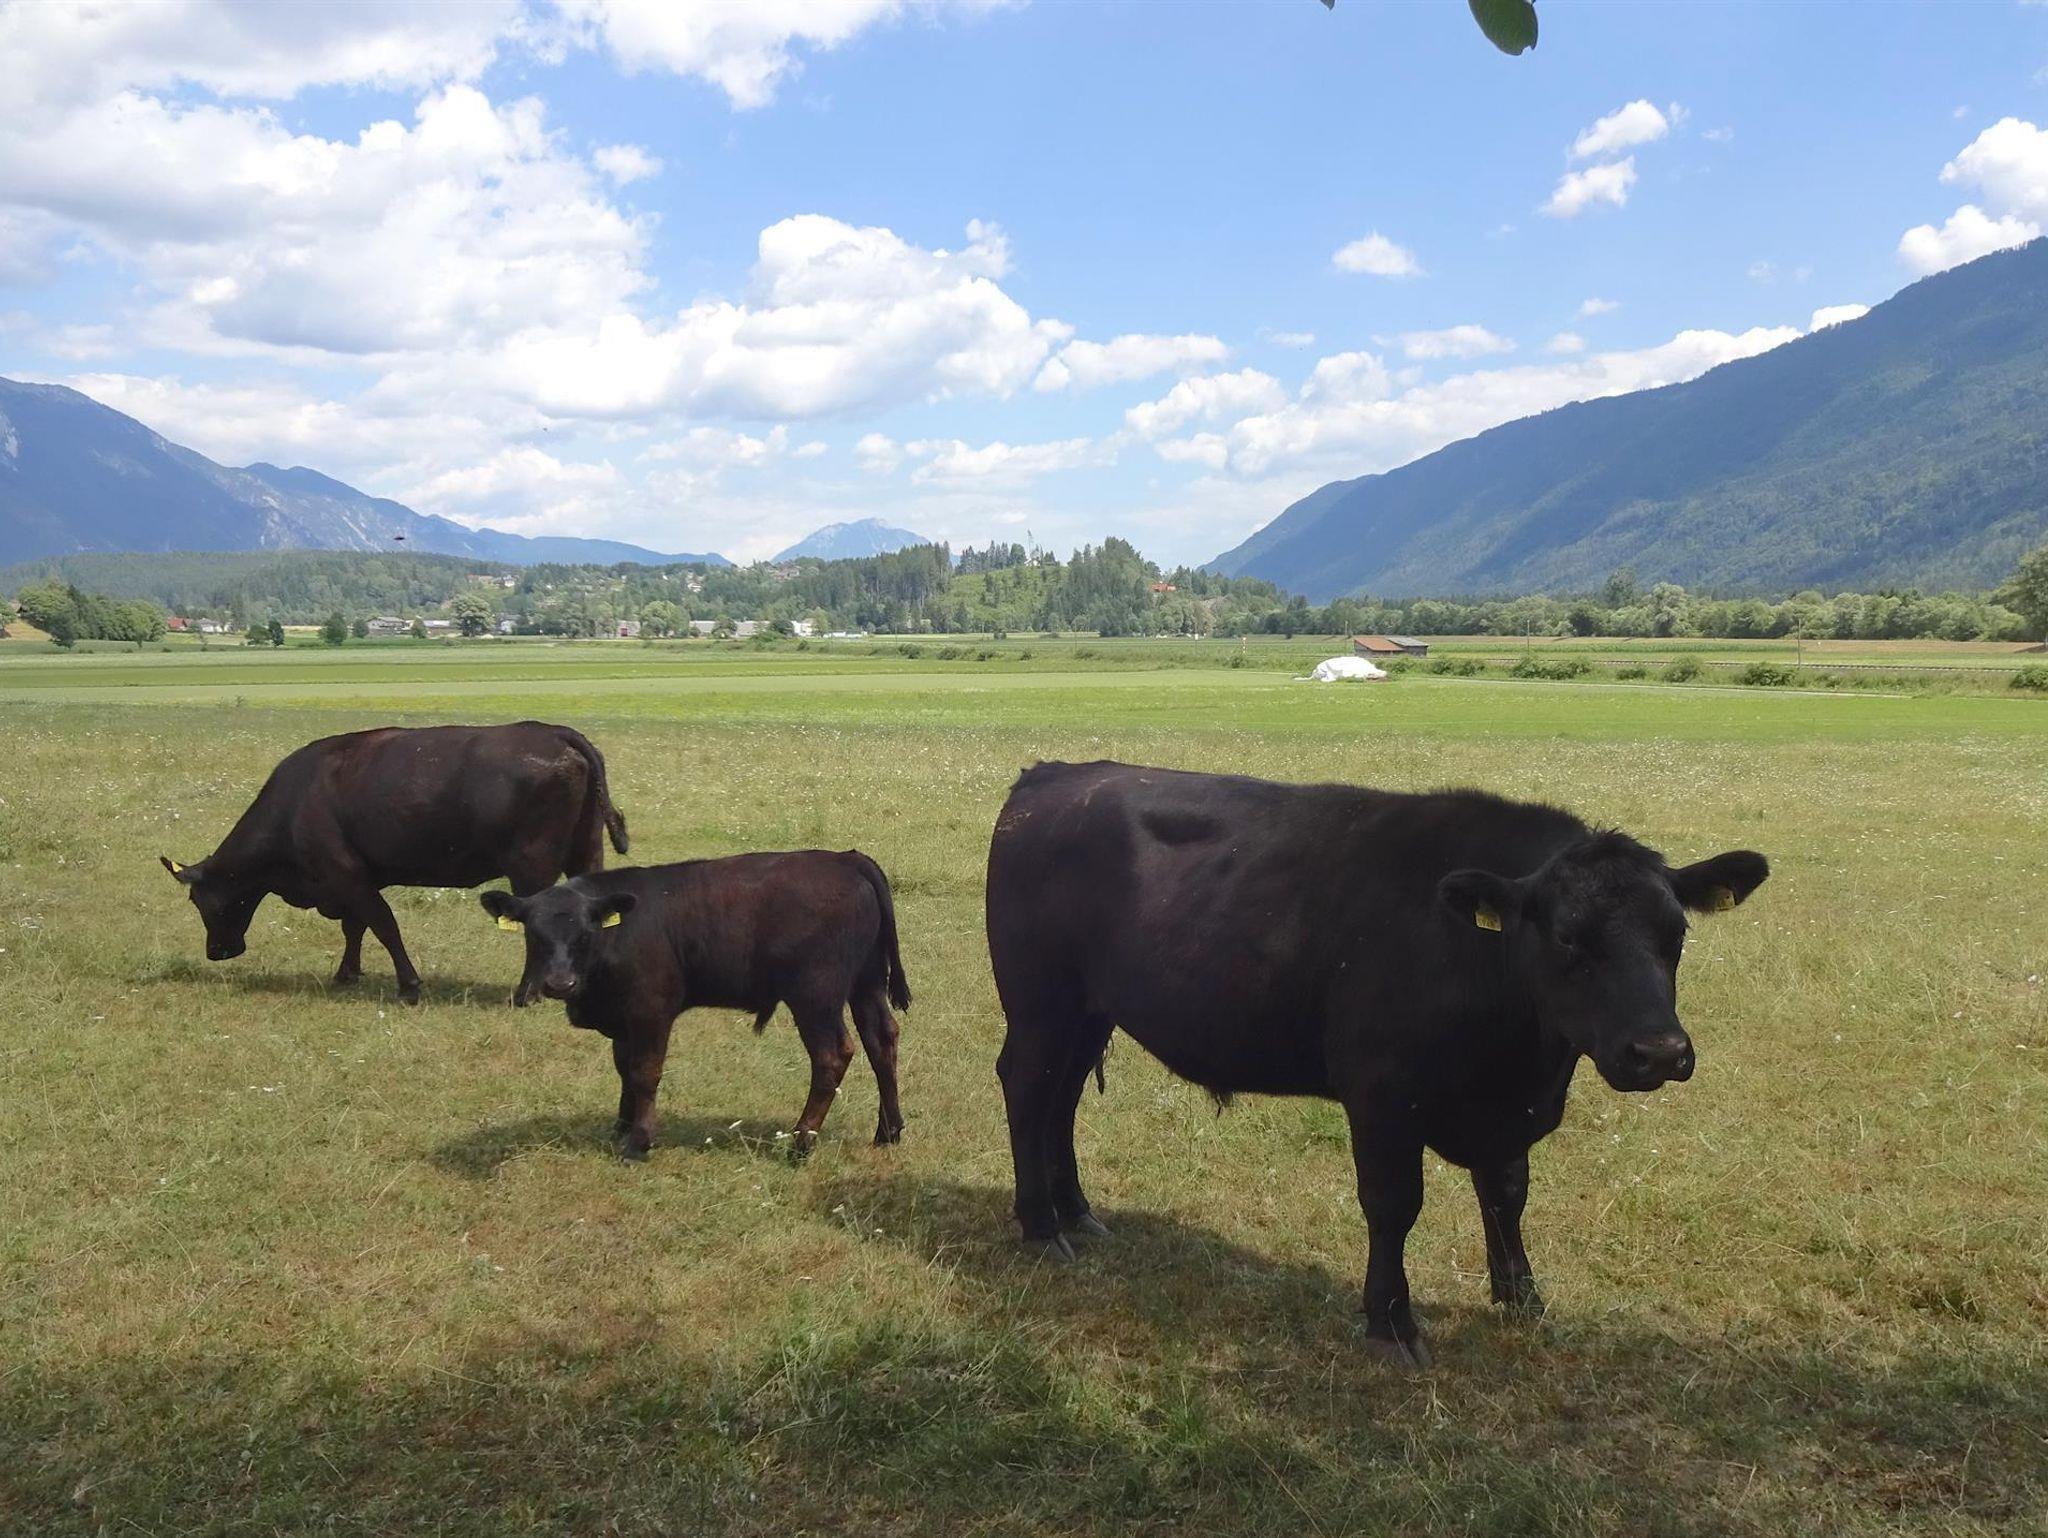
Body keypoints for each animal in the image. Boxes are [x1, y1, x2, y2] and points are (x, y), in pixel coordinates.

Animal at [162, 722, 629, 1004]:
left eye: (201, 902)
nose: (217, 952)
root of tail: (551, 731)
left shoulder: (345, 873)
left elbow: (383, 925)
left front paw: (409, 985)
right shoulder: (355, 879)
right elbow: (356, 927)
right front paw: (347, 972)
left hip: (531, 865)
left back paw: (526, 993)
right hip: (586, 851)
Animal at [479, 850, 911, 1160]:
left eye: (586, 933)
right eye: (534, 933)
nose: (559, 983)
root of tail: (844, 859)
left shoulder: (651, 1010)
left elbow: (644, 1072)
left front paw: (639, 1141)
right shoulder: (624, 1017)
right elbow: (623, 1068)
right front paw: (622, 1124)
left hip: (815, 998)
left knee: (832, 1057)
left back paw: (801, 1142)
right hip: (866, 983)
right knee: (881, 1040)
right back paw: (888, 1131)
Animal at [985, 761, 1769, 1368]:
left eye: (1677, 934)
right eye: (1568, 938)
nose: (1659, 1051)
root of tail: (1057, 775)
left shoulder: (1506, 1111)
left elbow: (1506, 1194)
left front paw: (1520, 1295)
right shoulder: (1382, 1097)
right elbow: (1394, 1206)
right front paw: (1391, 1321)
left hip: (1090, 1009)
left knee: (1061, 1100)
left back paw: (1077, 1210)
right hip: (1040, 1002)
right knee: (1027, 1090)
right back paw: (1042, 1225)